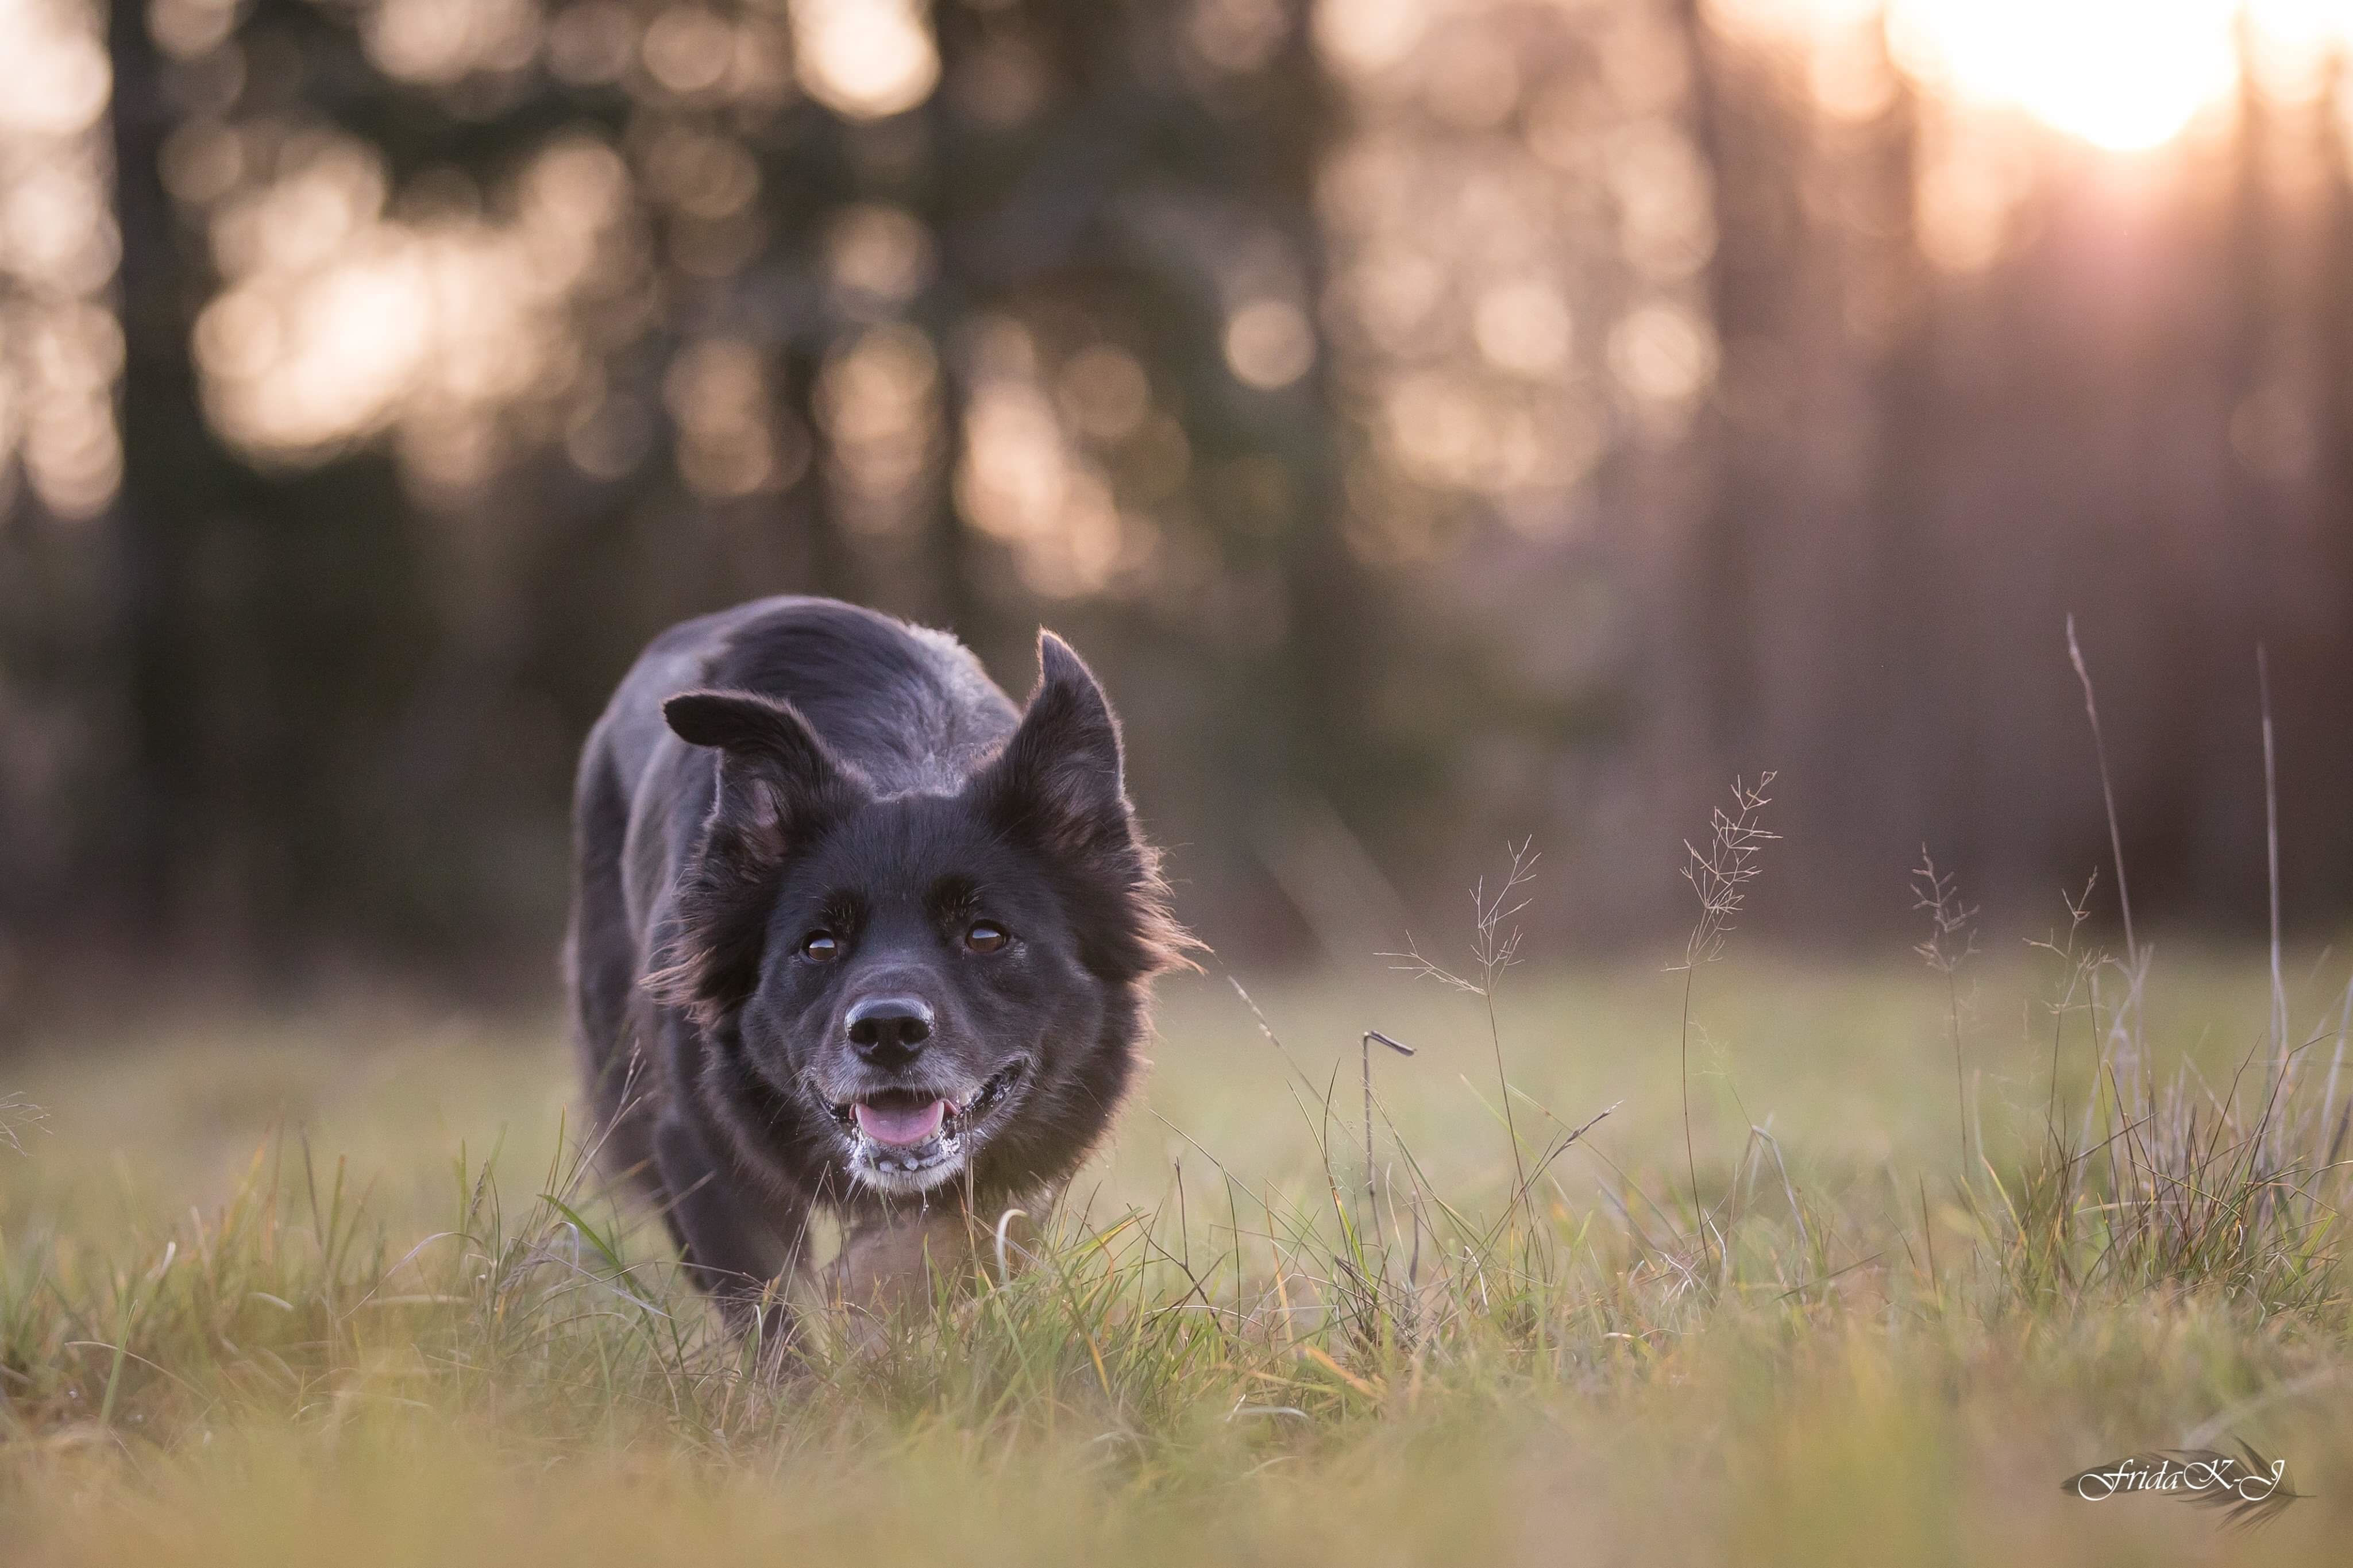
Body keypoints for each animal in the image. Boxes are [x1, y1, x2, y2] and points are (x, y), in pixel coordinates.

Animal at [562, 594, 1186, 1335]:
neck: (913, 760)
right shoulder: (696, 1142)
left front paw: (880, 1289)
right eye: (819, 946)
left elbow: (955, 1235)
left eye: (985, 935)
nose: (887, 1033)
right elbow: (776, 1309)